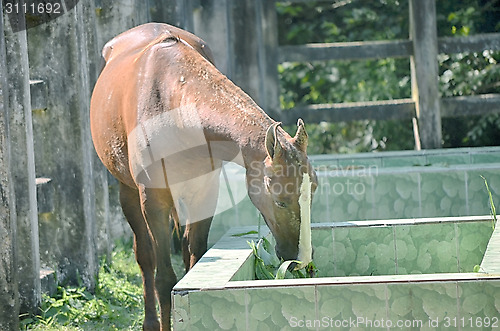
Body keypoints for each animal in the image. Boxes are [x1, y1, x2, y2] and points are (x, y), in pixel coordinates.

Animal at [90, 22, 316, 330]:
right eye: (280, 201)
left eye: (312, 192)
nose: (301, 260)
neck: (174, 106)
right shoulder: (154, 202)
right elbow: (164, 278)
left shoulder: (206, 192)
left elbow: (195, 259)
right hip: (128, 191)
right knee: (145, 256)